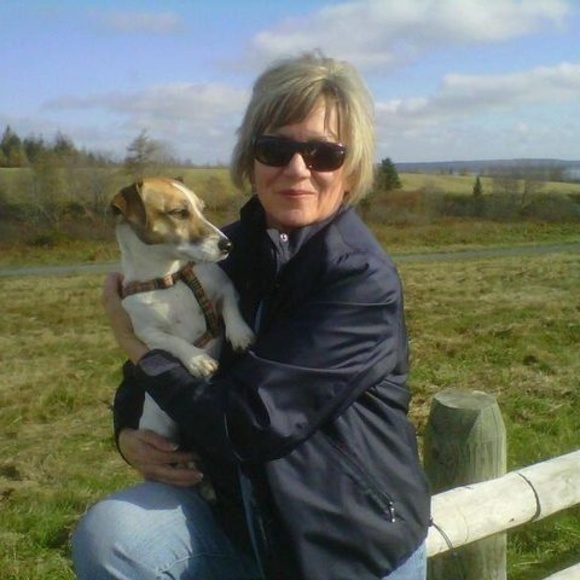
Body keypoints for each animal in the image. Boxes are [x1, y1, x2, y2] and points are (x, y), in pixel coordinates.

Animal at [110, 177, 255, 446]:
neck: (170, 277)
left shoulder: (225, 289)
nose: (228, 244)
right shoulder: (148, 333)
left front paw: (240, 334)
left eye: (203, 209)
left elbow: (231, 310)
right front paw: (198, 360)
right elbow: (175, 342)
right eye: (179, 212)